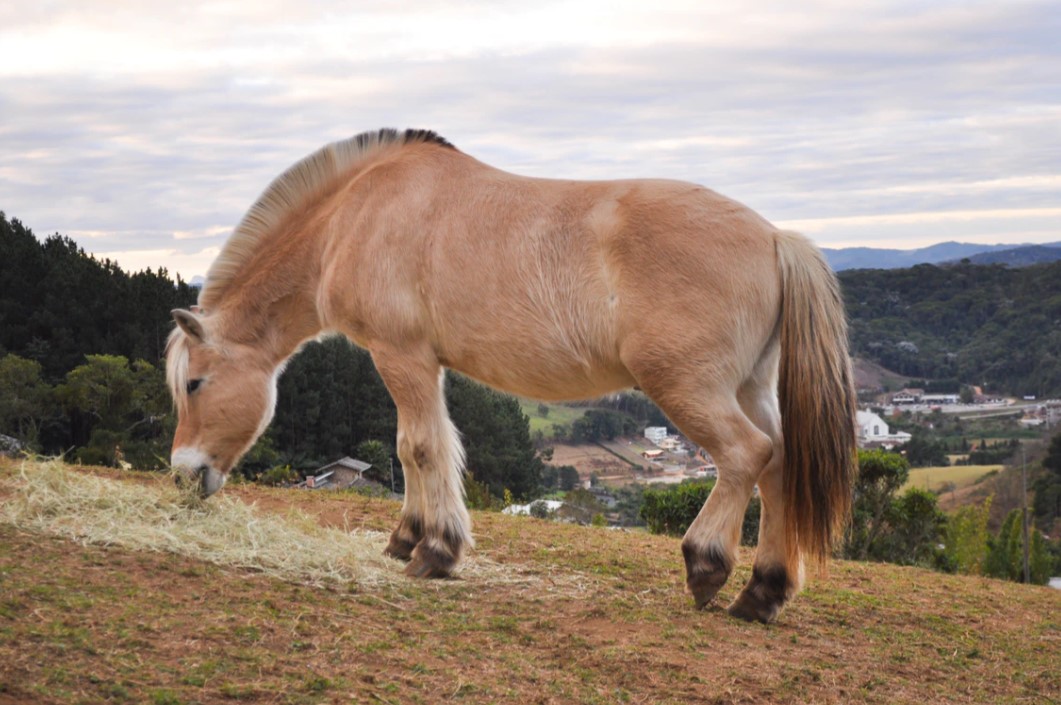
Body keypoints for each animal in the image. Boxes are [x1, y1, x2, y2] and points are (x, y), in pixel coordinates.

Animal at [167, 127, 861, 624]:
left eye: (194, 384)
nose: (182, 473)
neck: (356, 214)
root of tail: (775, 238)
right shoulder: (421, 365)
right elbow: (419, 448)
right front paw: (408, 537)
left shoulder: (401, 355)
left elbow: (420, 446)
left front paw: (436, 552)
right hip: (748, 387)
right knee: (779, 463)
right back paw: (762, 594)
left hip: (688, 388)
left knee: (747, 454)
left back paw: (707, 566)